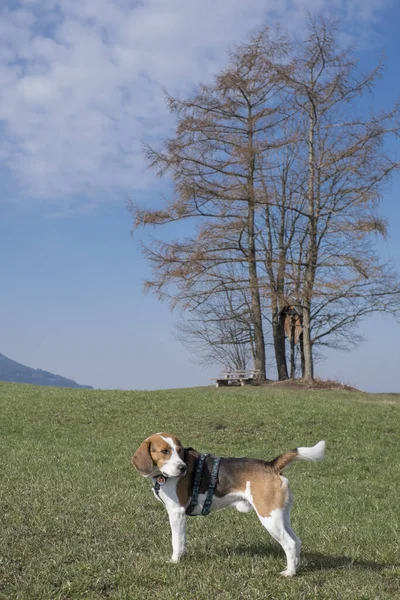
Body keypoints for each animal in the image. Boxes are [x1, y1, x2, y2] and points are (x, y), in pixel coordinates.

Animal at [131, 432, 324, 576]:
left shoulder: (176, 512)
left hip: (269, 519)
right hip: (281, 517)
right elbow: (183, 540)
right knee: (297, 541)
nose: (182, 468)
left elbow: (176, 540)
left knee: (289, 544)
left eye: (179, 451)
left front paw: (174, 561)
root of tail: (271, 465)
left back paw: (289, 573)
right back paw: (296, 566)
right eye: (165, 451)